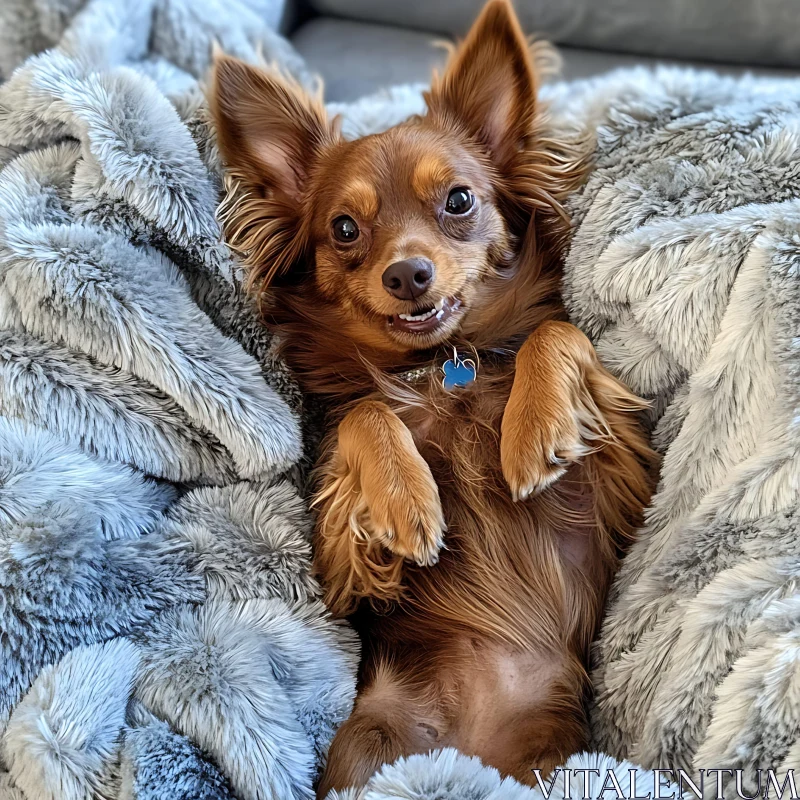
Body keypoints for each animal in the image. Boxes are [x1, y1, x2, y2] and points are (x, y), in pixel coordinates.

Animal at [209, 3, 652, 796]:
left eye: (459, 200)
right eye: (344, 229)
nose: (408, 273)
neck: (446, 372)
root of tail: (467, 759)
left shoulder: (612, 488)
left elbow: (557, 331)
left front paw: (533, 431)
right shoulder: (348, 573)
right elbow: (367, 411)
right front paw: (404, 500)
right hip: (369, 746)